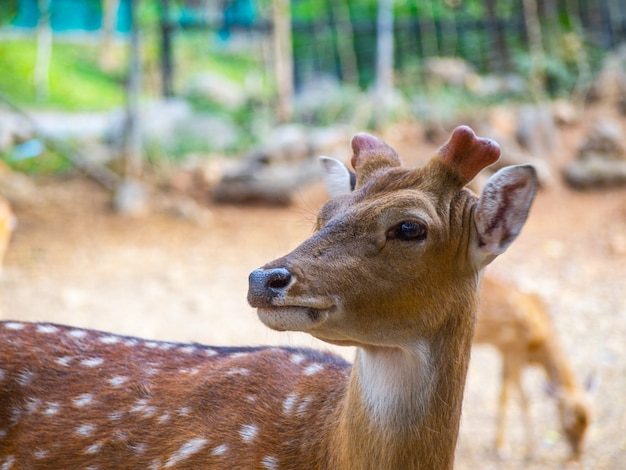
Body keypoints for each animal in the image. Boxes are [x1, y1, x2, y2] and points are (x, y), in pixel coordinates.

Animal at [472, 274, 588, 460]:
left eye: (591, 420)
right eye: (569, 421)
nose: (578, 453)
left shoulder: (505, 352)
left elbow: (506, 394)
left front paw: (501, 445)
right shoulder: (515, 351)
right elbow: (521, 399)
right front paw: (521, 449)